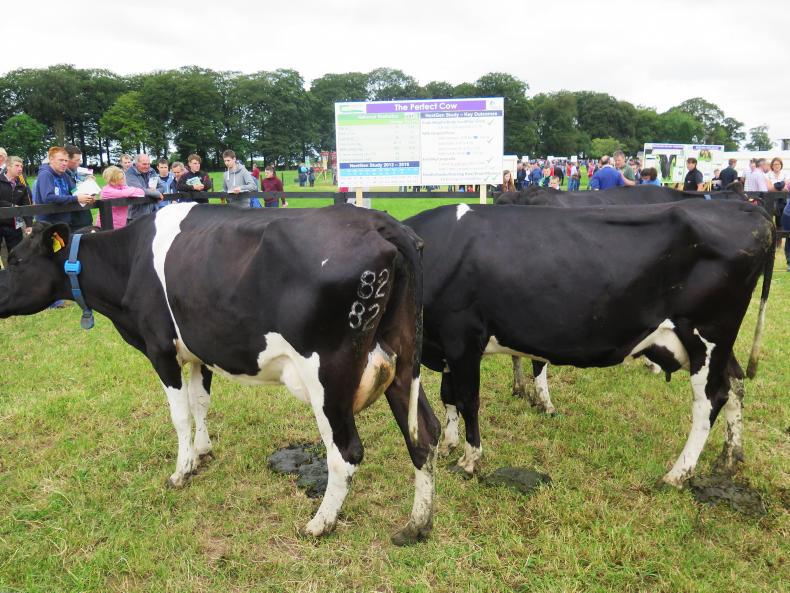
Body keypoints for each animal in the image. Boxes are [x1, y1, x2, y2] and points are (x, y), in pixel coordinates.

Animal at [0, 203, 440, 545]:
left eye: (16, 261)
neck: (128, 262)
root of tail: (381, 222)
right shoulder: (198, 351)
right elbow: (200, 403)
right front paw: (203, 452)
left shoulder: (160, 349)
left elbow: (179, 414)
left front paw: (181, 471)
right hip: (401, 359)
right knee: (424, 432)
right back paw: (416, 525)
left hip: (328, 371)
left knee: (346, 451)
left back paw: (319, 524)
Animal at [404, 200, 774, 486]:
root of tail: (744, 208)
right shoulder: (445, 345)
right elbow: (449, 396)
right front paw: (449, 444)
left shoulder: (463, 337)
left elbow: (468, 400)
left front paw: (469, 460)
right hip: (716, 344)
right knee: (735, 383)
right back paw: (730, 456)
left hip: (707, 335)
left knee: (711, 398)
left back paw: (677, 474)